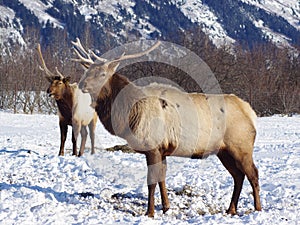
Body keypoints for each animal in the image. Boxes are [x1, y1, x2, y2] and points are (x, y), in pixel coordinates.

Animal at [72, 38, 260, 216]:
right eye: (87, 71)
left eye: (102, 73)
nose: (82, 84)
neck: (129, 115)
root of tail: (250, 112)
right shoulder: (162, 150)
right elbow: (162, 178)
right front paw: (166, 207)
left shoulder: (152, 148)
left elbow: (152, 181)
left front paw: (150, 212)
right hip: (224, 151)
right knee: (238, 176)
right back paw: (231, 209)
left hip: (241, 146)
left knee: (253, 174)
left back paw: (257, 209)